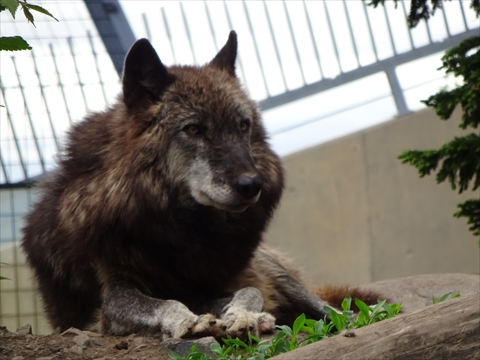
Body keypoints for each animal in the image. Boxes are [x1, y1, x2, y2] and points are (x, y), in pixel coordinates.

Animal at [21, 31, 382, 340]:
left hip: (279, 272)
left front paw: (245, 316)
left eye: (243, 125)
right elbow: (164, 303)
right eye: (194, 129)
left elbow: (250, 290)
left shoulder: (224, 281)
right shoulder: (111, 296)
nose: (252, 185)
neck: (185, 234)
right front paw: (189, 321)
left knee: (331, 307)